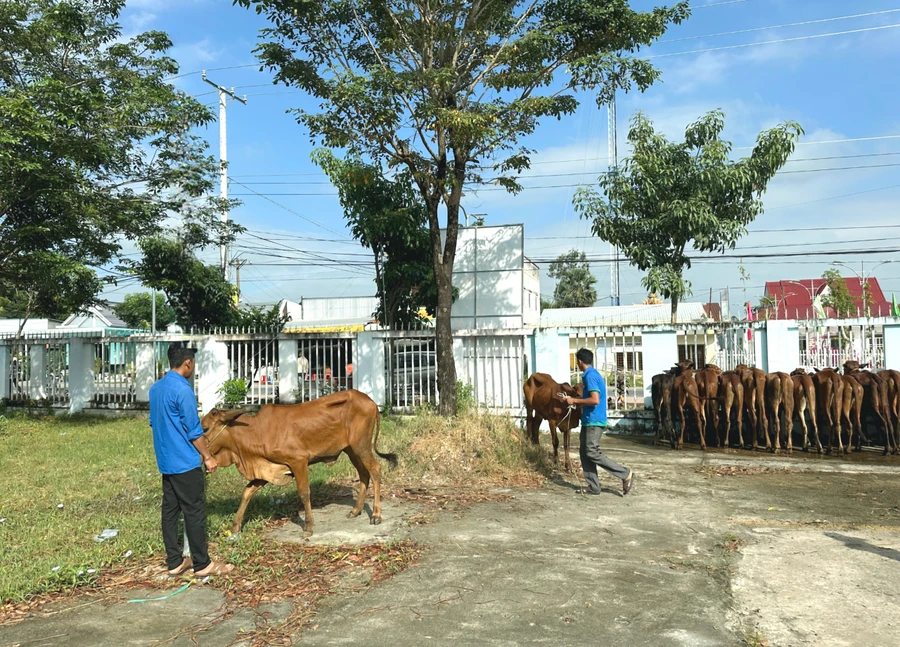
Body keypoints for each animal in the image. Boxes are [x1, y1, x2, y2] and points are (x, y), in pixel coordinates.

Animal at [200, 392, 398, 540]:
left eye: (205, 428)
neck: (257, 432)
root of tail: (370, 401)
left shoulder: (298, 461)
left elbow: (304, 492)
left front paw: (308, 526)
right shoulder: (268, 469)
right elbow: (247, 492)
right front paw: (235, 527)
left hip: (361, 446)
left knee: (375, 470)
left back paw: (376, 515)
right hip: (351, 450)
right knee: (364, 474)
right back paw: (356, 510)